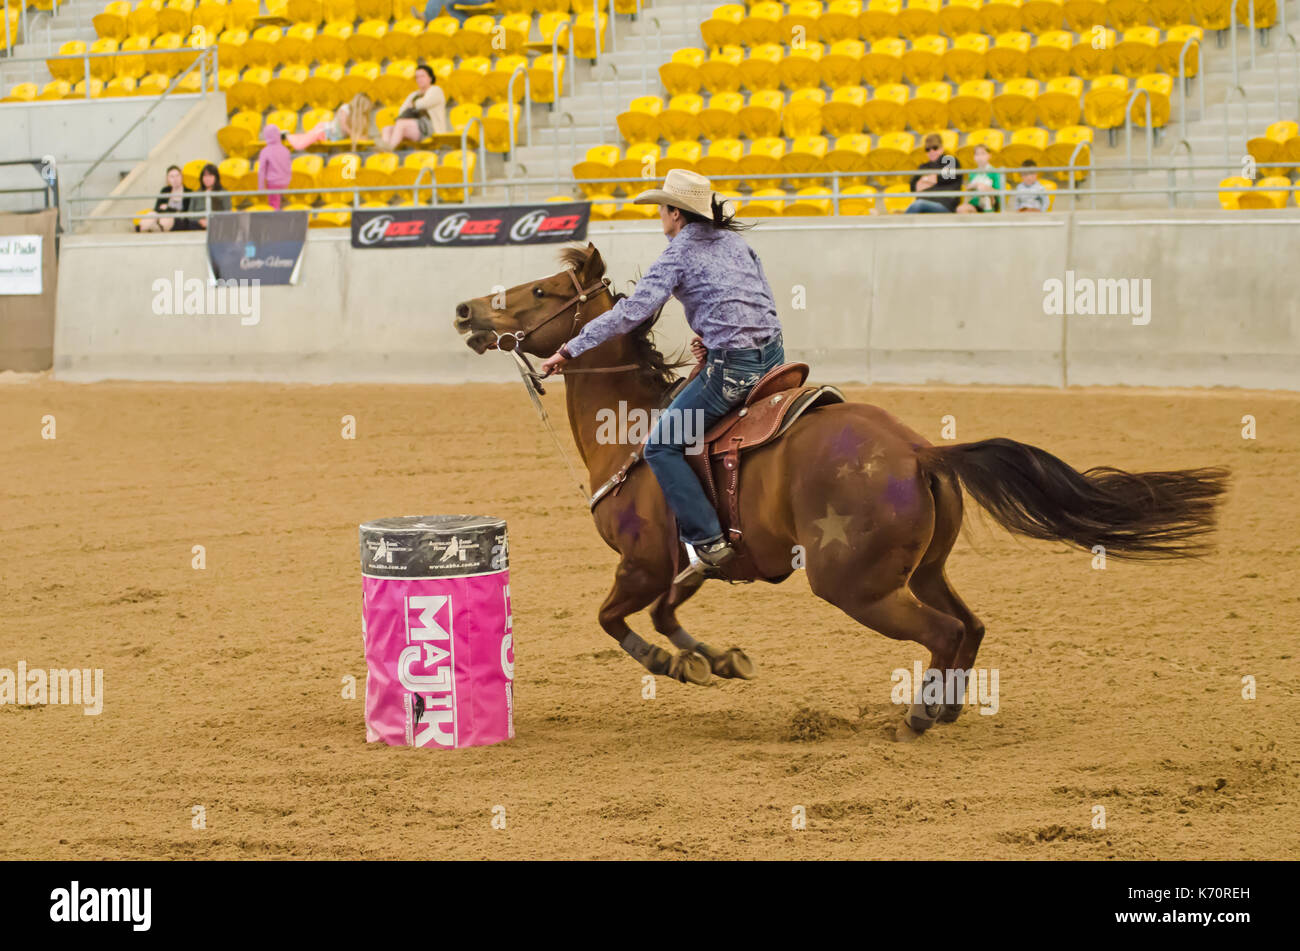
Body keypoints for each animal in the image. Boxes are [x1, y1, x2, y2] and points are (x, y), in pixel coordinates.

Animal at [454, 242, 1230, 734]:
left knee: (945, 631)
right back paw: (946, 707)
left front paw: (676, 665)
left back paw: (920, 714)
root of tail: (920, 450)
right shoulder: (693, 561)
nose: (465, 311)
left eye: (542, 291)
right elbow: (669, 611)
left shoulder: (641, 561)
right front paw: (717, 659)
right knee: (971, 624)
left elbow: (613, 620)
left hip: (854, 584)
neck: (633, 427)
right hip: (921, 569)